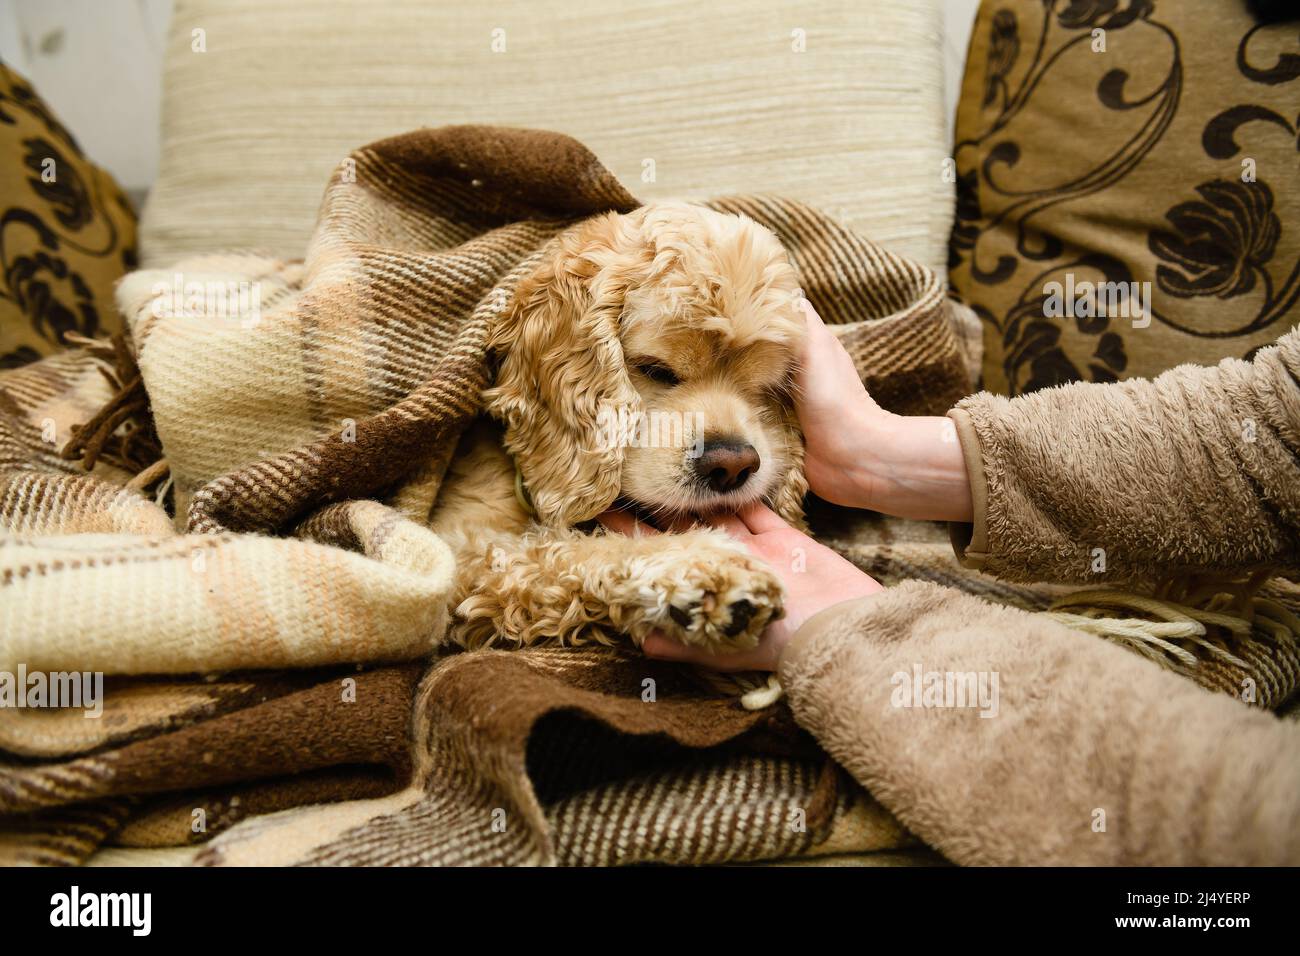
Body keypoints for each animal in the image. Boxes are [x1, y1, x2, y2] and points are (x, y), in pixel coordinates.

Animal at [431, 200, 806, 650]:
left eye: (766, 386)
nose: (732, 466)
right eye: (655, 369)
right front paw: (698, 567)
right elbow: (560, 551)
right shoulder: (454, 550)